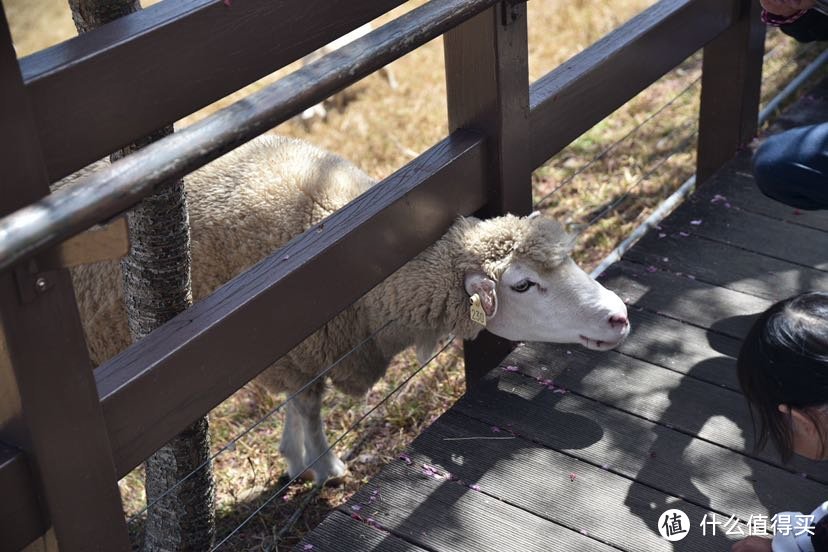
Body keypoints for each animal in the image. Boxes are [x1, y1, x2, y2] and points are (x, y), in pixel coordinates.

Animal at [71, 135, 632, 484]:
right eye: (522, 284)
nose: (619, 315)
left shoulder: (298, 348)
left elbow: (296, 404)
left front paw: (294, 458)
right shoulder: (294, 343)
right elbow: (308, 404)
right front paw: (322, 466)